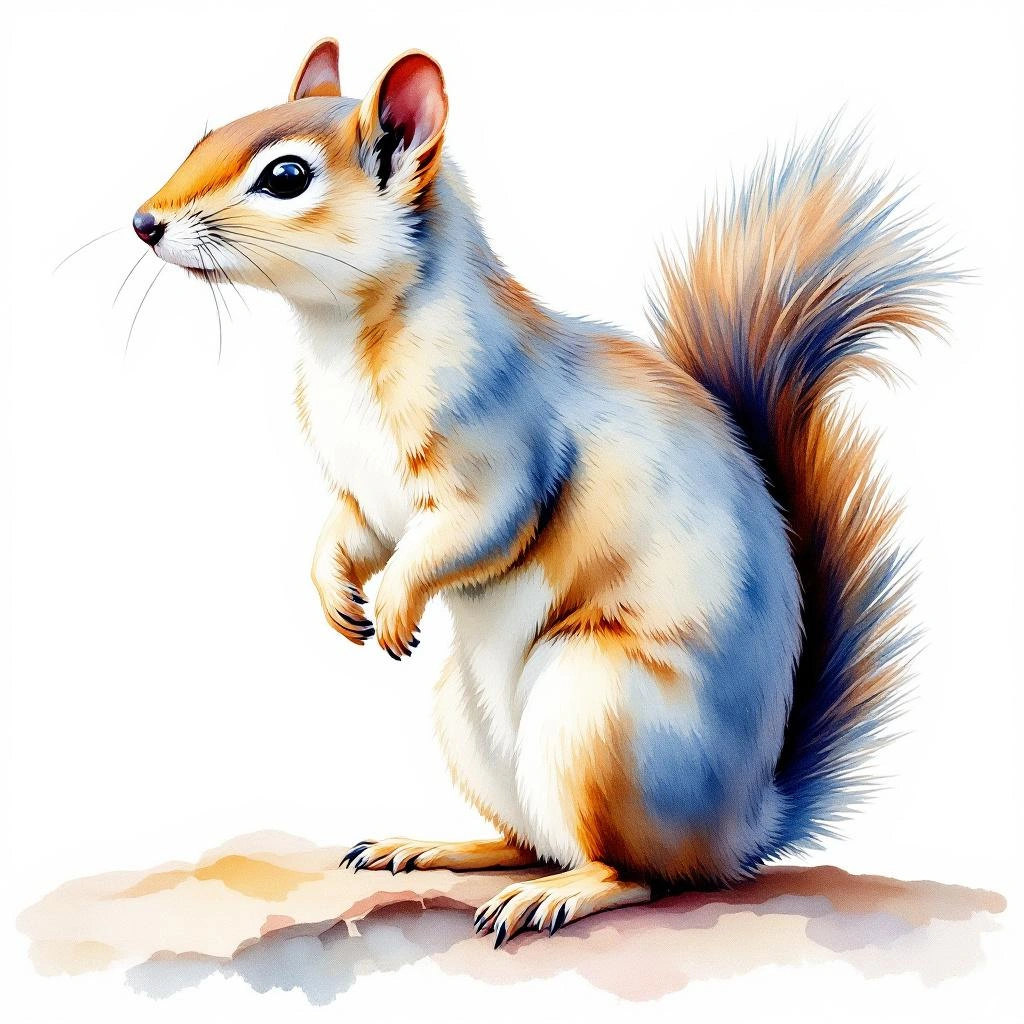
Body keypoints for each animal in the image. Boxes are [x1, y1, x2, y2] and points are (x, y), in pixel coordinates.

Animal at [132, 39, 951, 945]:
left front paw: (393, 605)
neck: (342, 338)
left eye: (285, 176)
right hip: (472, 727)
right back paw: (437, 847)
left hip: (600, 716)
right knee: (529, 839)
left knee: (634, 873)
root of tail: (742, 827)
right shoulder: (367, 494)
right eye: (207, 134)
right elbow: (352, 533)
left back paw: (557, 895)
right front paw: (334, 594)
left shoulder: (500, 447)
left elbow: (480, 528)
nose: (144, 222)